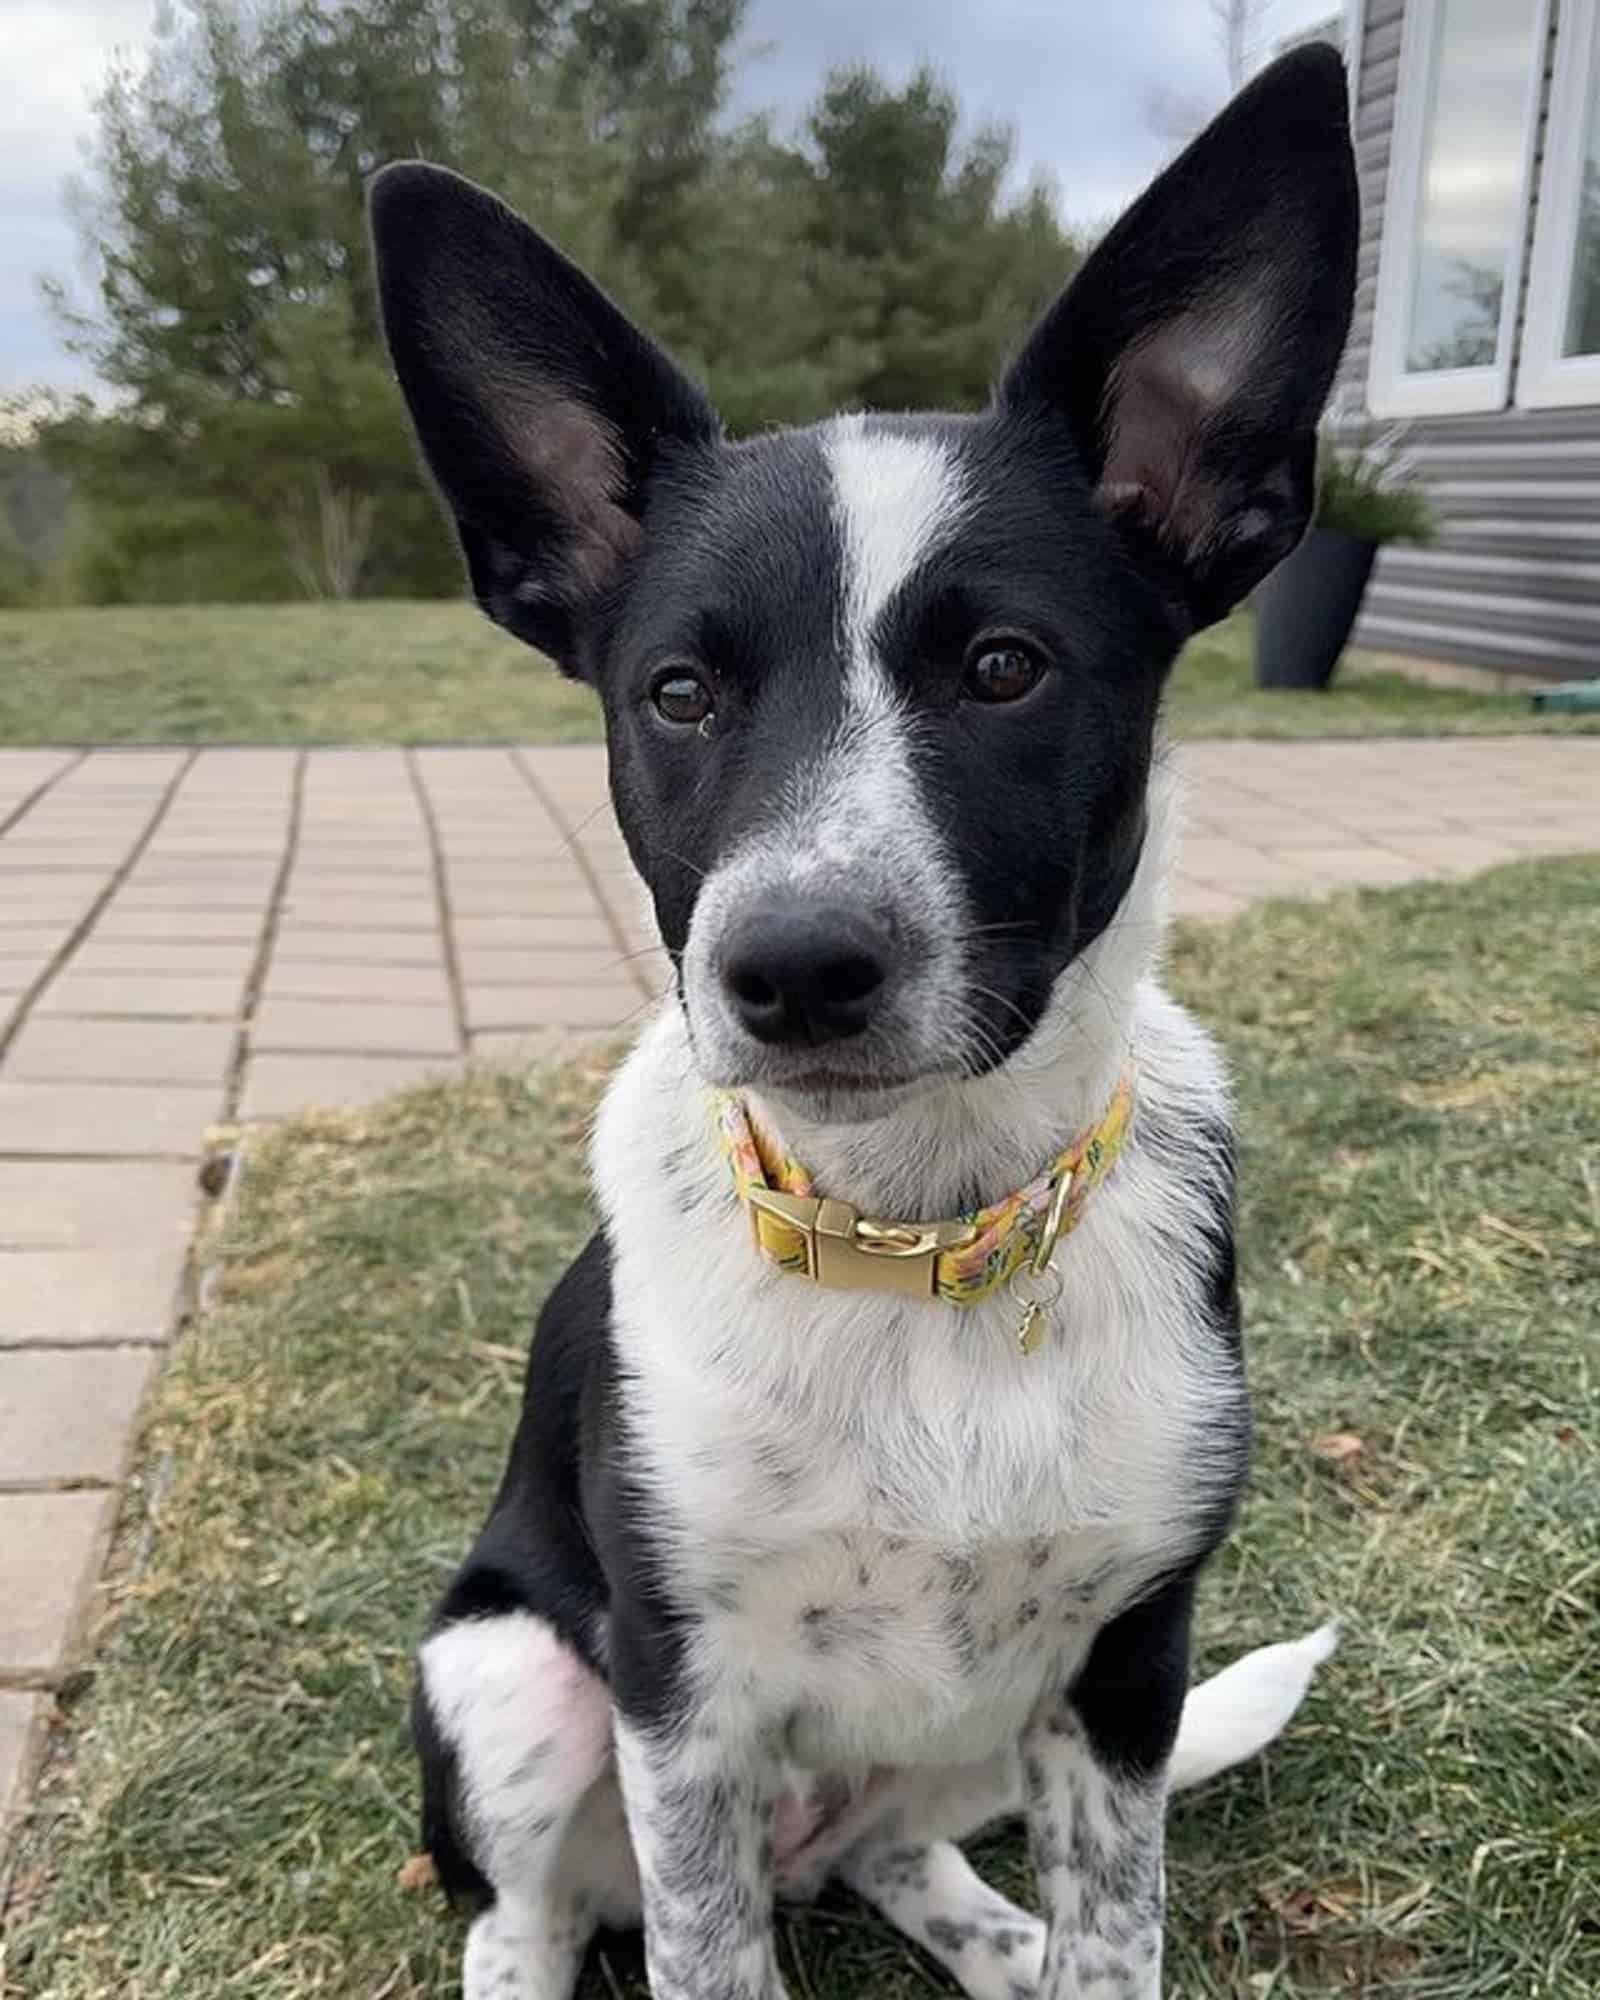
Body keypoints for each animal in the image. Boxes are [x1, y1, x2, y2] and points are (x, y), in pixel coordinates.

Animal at [372, 47, 1360, 2000]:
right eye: (677, 690)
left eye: (1006, 669)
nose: (797, 967)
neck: (918, 1233)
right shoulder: (679, 1703)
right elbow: (708, 1954)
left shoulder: (1125, 1669)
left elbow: (1117, 1939)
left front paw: (1062, 1952)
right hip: (511, 1680)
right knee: (523, 1919)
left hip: (976, 1735)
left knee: (905, 1858)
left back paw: (988, 1934)